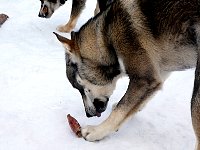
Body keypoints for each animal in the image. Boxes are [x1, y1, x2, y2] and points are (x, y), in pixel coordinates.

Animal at [53, 0, 200, 149]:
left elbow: (120, 110)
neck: (107, 37)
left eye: (79, 87)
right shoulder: (156, 74)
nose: (88, 115)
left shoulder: (144, 80)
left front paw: (97, 131)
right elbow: (133, 103)